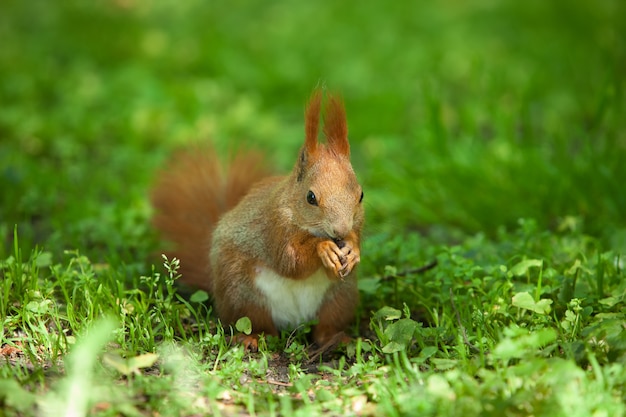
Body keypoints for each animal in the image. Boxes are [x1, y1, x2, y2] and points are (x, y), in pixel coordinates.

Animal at [149, 89, 364, 350]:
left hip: (339, 297)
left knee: (324, 328)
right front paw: (323, 248)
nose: (340, 230)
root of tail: (294, 322)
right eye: (311, 197)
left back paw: (337, 338)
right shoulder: (274, 226)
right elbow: (290, 262)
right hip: (243, 294)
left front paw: (352, 250)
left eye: (361, 195)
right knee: (258, 326)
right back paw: (251, 338)